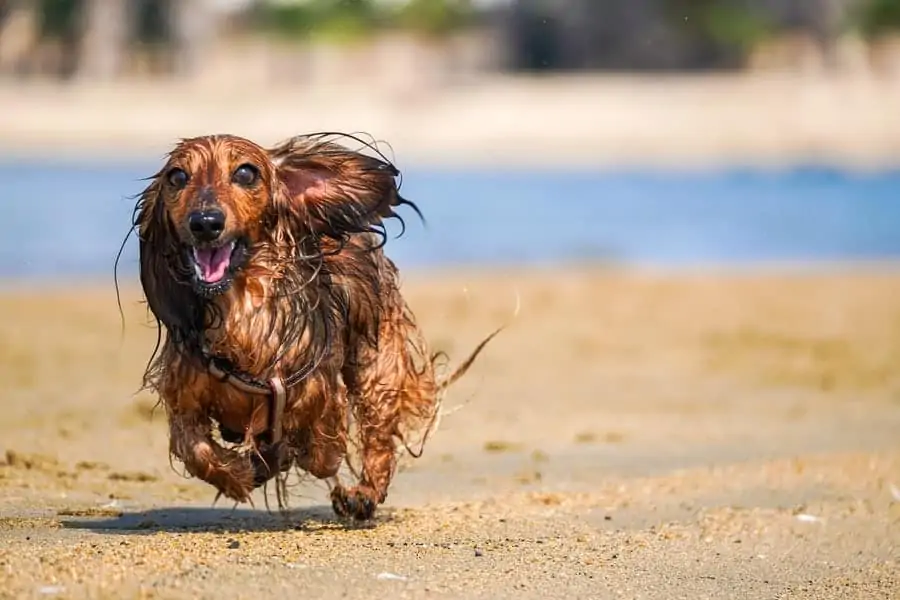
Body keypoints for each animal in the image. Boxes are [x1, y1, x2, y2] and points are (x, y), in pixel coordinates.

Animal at [132, 134, 500, 516]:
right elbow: (196, 449)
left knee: (378, 436)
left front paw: (281, 456)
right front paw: (242, 473)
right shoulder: (184, 397)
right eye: (177, 177)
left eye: (245, 173)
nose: (205, 222)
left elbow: (322, 451)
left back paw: (364, 493)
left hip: (376, 365)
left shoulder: (320, 394)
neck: (241, 312)